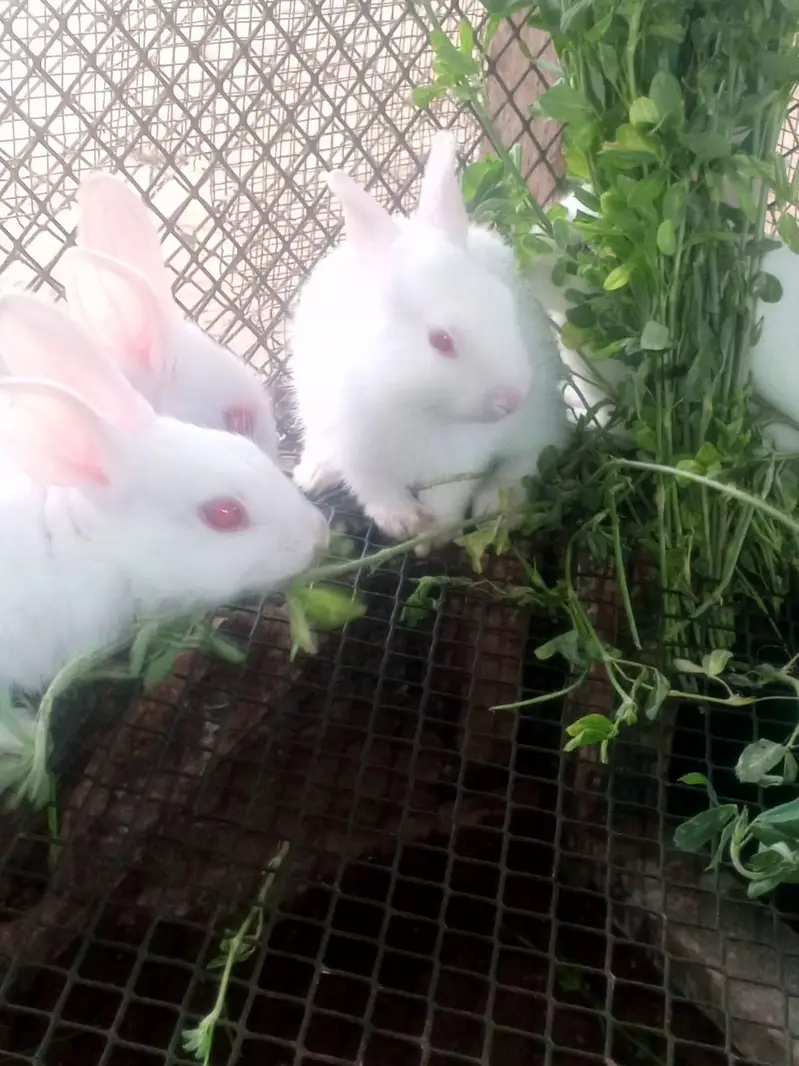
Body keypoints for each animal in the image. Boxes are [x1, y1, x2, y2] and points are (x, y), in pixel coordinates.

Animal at [288, 130, 569, 542]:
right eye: (441, 341)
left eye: (505, 305)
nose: (510, 399)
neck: (413, 402)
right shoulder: (356, 448)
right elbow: (375, 490)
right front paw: (404, 522)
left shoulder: (461, 457)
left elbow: (449, 495)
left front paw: (434, 534)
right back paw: (312, 474)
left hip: (540, 414)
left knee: (534, 450)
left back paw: (498, 504)